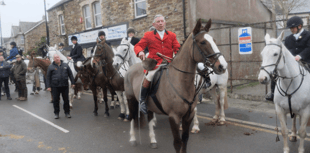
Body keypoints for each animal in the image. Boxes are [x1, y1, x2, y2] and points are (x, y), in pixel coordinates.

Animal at [123, 18, 228, 152]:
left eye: (214, 40)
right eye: (203, 42)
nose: (222, 66)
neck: (180, 81)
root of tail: (130, 69)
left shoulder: (188, 115)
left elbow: (185, 140)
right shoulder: (173, 116)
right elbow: (178, 143)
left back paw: (153, 140)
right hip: (131, 100)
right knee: (132, 118)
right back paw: (132, 139)